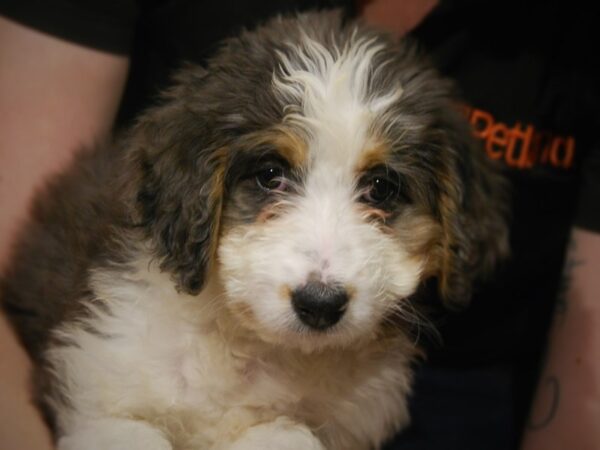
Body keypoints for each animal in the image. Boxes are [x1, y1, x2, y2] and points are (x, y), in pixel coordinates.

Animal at [0, 9, 508, 450]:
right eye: (269, 174)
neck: (253, 346)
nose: (320, 304)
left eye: (380, 188)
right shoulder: (99, 383)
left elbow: (281, 435)